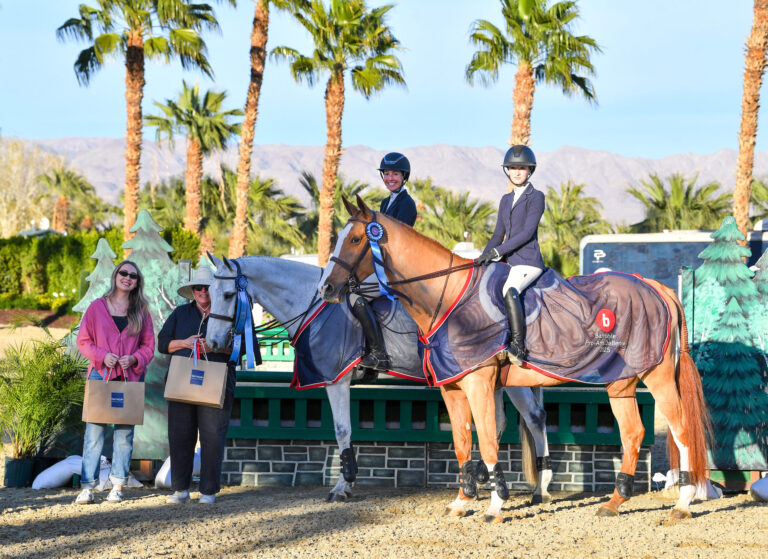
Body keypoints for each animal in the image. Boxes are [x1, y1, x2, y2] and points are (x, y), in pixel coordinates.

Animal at [318, 196, 708, 520]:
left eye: (356, 240)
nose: (326, 289)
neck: (449, 299)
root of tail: (653, 286)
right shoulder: (452, 387)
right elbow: (462, 443)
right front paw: (462, 502)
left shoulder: (479, 383)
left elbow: (489, 440)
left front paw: (494, 505)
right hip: (621, 383)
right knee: (632, 432)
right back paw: (615, 501)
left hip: (656, 377)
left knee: (680, 429)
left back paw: (684, 503)